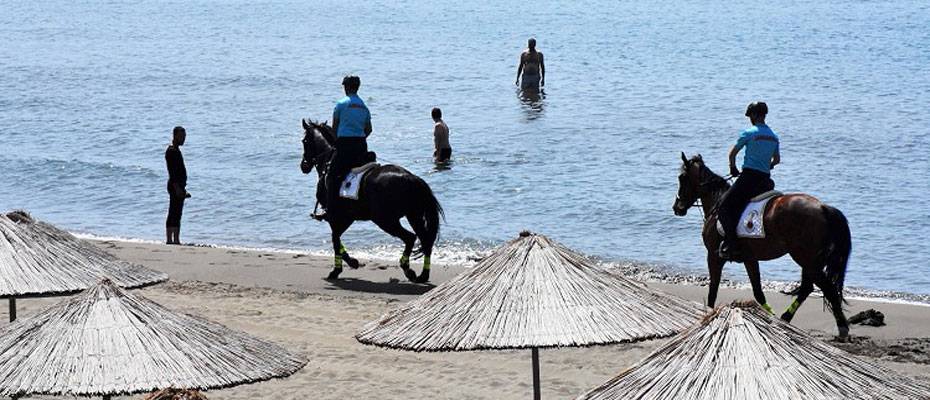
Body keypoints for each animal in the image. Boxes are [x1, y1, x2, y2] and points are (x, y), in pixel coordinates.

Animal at [300, 118, 440, 282]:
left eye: (304, 141)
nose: (303, 166)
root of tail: (411, 178)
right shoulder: (347, 217)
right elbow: (337, 239)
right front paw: (350, 262)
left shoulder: (336, 217)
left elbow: (335, 240)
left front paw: (339, 268)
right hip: (413, 216)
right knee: (425, 240)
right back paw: (422, 275)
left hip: (385, 219)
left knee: (410, 237)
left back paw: (407, 269)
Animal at [672, 153, 852, 338]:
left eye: (682, 177)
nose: (677, 208)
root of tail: (823, 207)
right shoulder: (749, 259)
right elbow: (758, 292)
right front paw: (769, 316)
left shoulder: (714, 257)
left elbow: (713, 290)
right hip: (810, 260)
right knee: (808, 288)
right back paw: (786, 318)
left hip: (805, 258)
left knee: (827, 289)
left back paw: (842, 327)